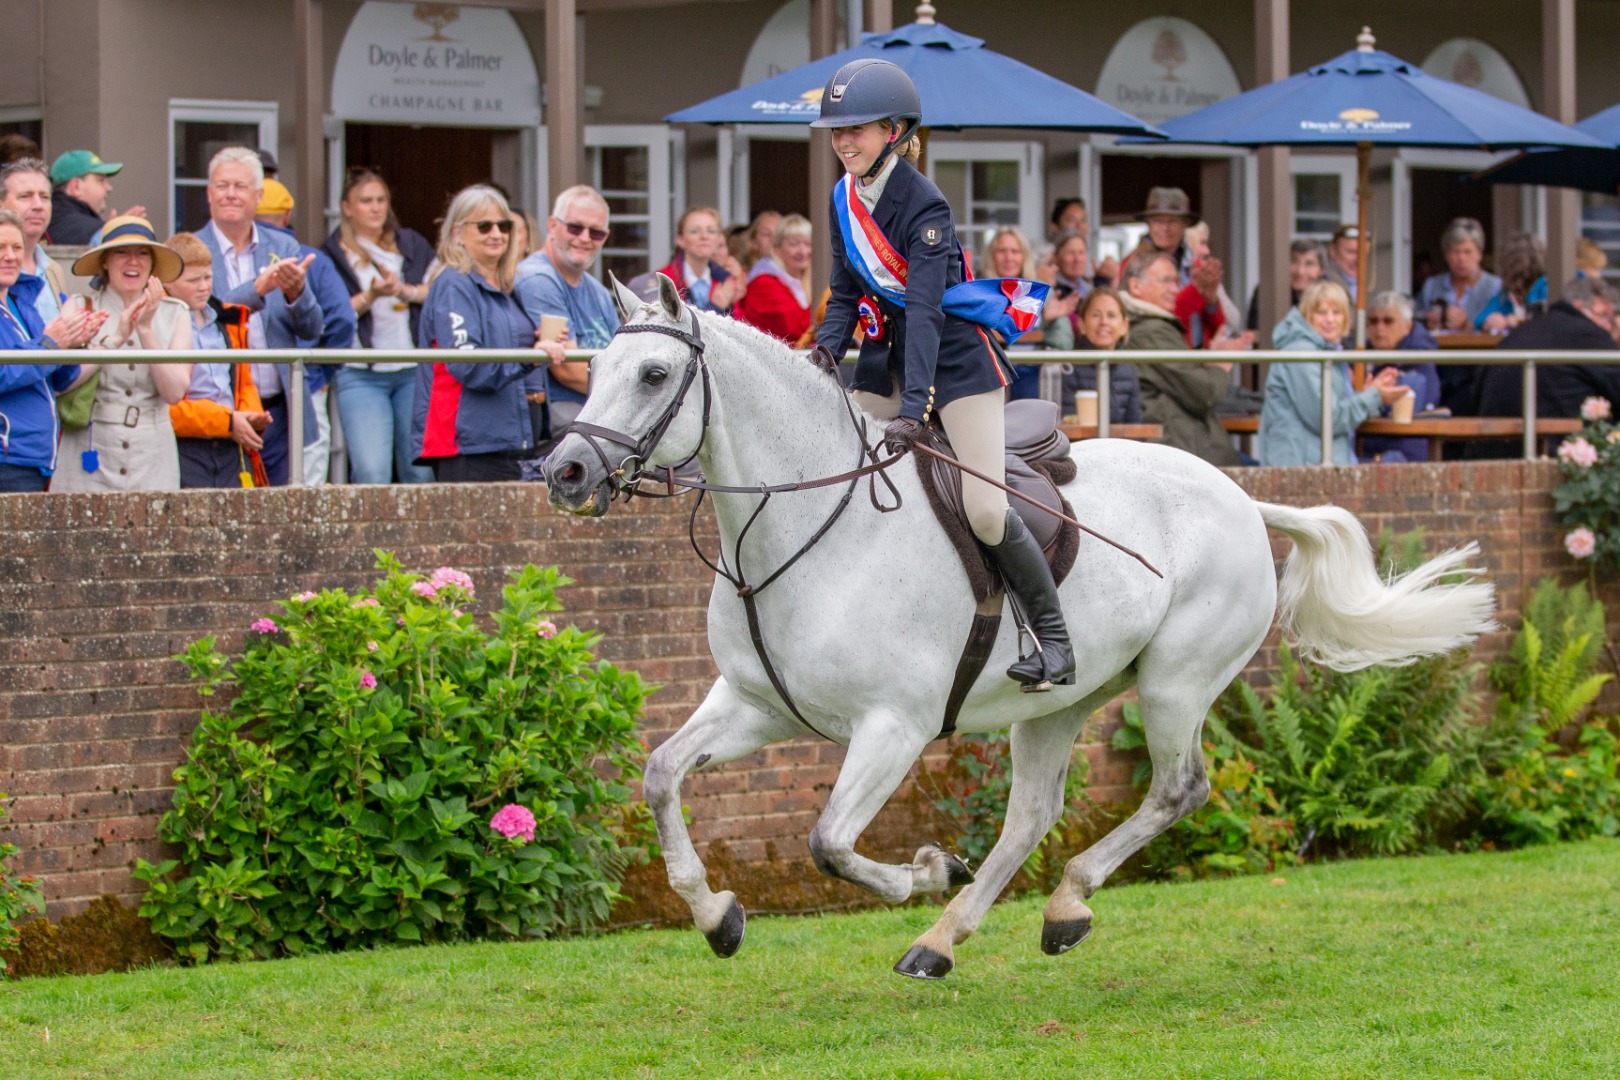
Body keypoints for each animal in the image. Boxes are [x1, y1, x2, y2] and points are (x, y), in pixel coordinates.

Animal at [542, 274, 1496, 980]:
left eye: (653, 376)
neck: (807, 526)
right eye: (593, 367)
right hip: (1058, 704)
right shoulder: (756, 705)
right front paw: (717, 916)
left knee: (1176, 790)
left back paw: (1060, 904)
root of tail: (1235, 492)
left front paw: (926, 869)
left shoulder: (892, 727)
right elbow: (661, 777)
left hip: (1176, 682)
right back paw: (944, 942)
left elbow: (828, 842)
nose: (564, 471)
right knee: (1035, 813)